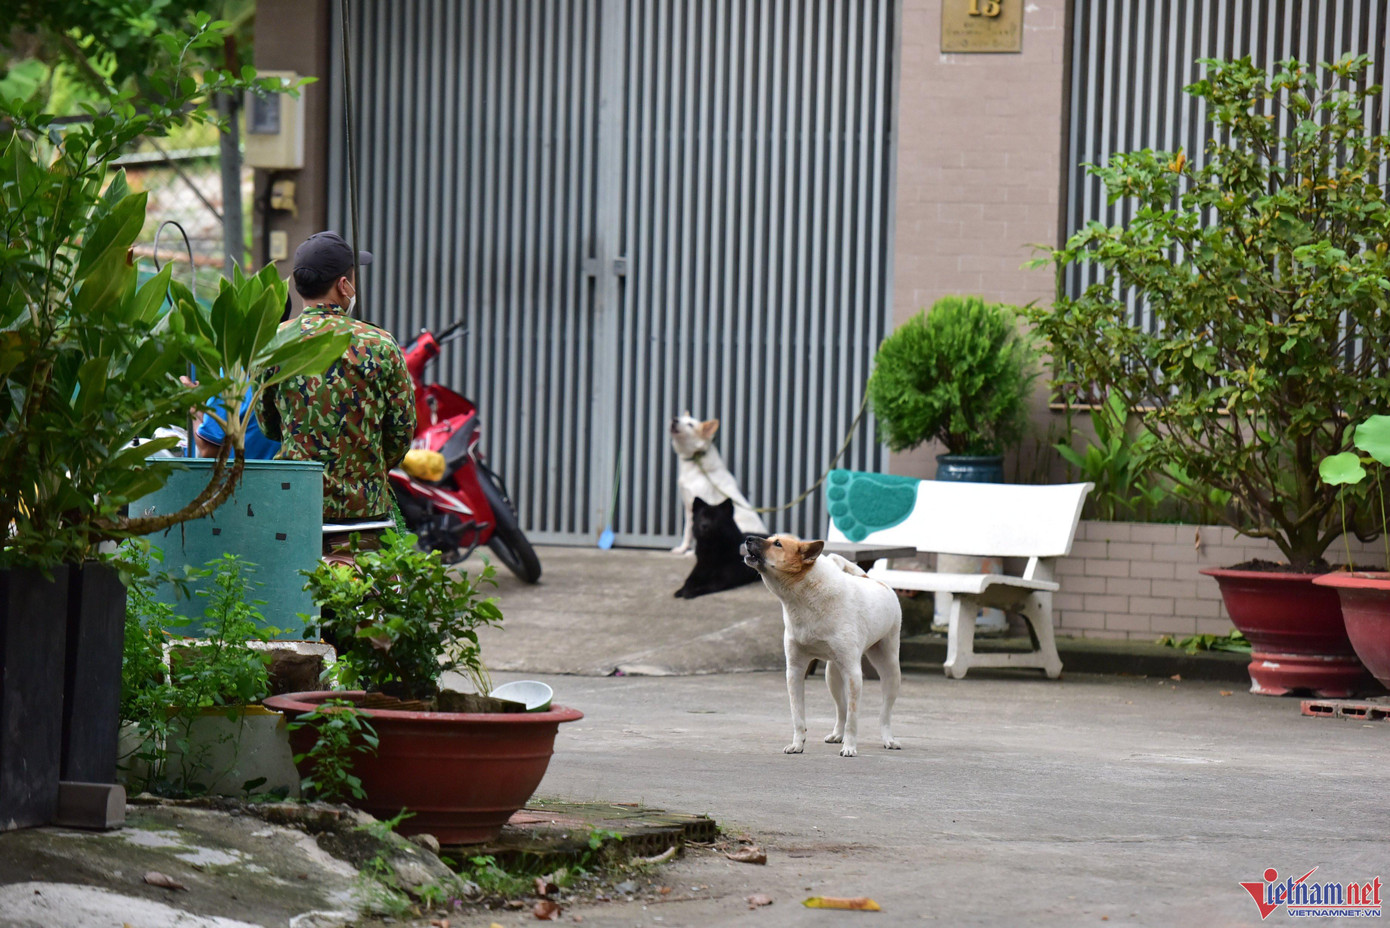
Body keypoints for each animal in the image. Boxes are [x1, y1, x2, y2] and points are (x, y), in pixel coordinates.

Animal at [669, 412, 768, 554]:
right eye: (681, 418)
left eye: (690, 424)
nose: (674, 419)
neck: (696, 458)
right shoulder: (689, 508)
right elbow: (687, 532)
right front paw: (682, 549)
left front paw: (692, 552)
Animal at [741, 534, 902, 757]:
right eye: (772, 539)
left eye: (778, 544)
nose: (747, 538)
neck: (806, 596)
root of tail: (871, 579)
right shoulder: (795, 671)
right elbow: (798, 716)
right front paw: (798, 744)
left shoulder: (853, 674)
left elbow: (853, 719)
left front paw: (850, 747)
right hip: (832, 675)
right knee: (841, 709)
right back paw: (837, 734)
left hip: (890, 671)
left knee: (884, 713)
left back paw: (888, 739)